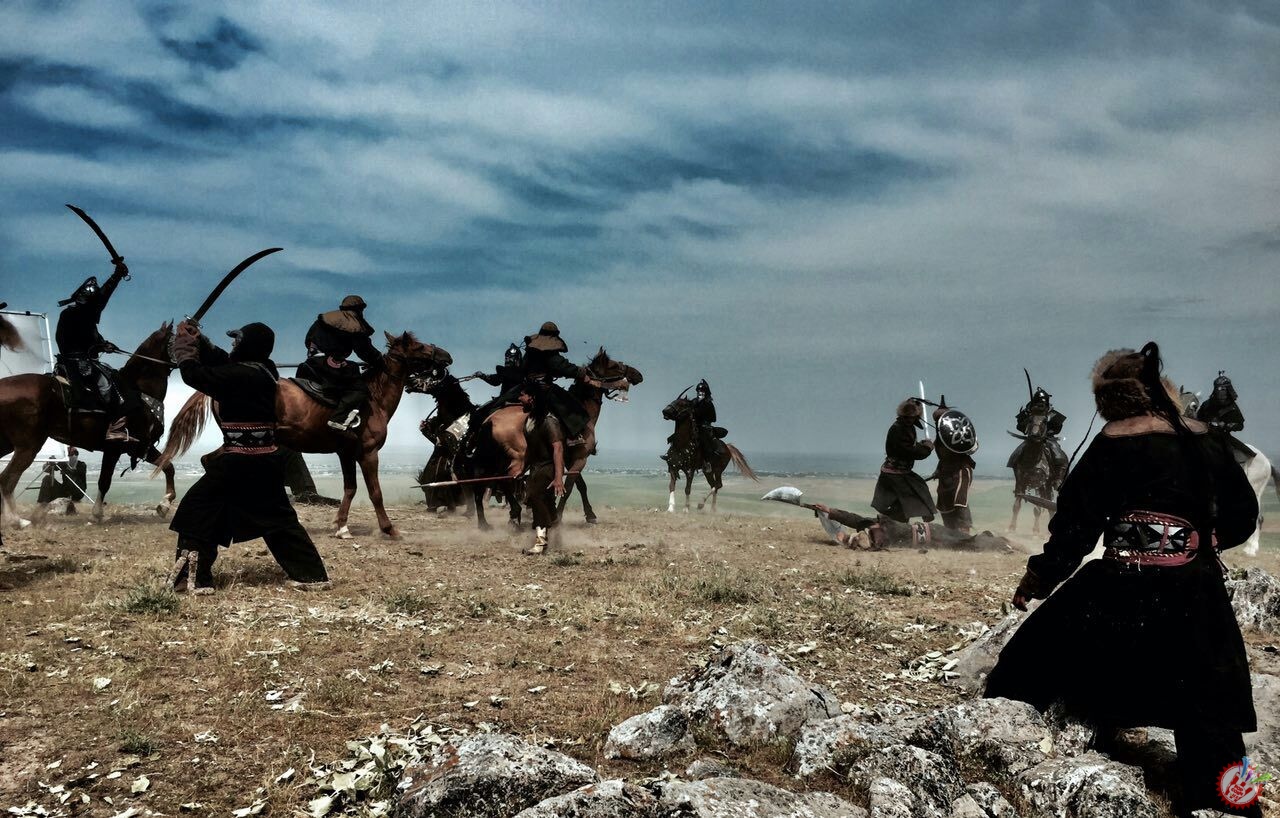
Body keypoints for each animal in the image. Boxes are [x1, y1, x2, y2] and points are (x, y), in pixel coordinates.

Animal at [0, 323, 178, 525]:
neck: (138, 391)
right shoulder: (126, 447)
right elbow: (108, 480)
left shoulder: (131, 448)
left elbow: (166, 467)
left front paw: (163, 505)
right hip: (28, 446)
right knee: (7, 479)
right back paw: (16, 520)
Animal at [160, 331, 450, 538]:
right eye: (420, 347)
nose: (446, 356)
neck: (373, 400)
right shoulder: (368, 453)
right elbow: (375, 492)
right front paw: (389, 529)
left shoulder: (346, 454)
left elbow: (350, 488)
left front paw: (341, 527)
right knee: (212, 462)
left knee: (209, 461)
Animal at [460, 348, 641, 530]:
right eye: (614, 365)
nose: (637, 375)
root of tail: (489, 420)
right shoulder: (580, 458)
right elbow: (569, 487)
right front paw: (559, 517)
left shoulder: (569, 459)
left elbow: (580, 485)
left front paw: (590, 515)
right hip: (517, 457)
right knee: (505, 479)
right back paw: (515, 513)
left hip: (494, 457)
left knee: (486, 482)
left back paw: (486, 522)